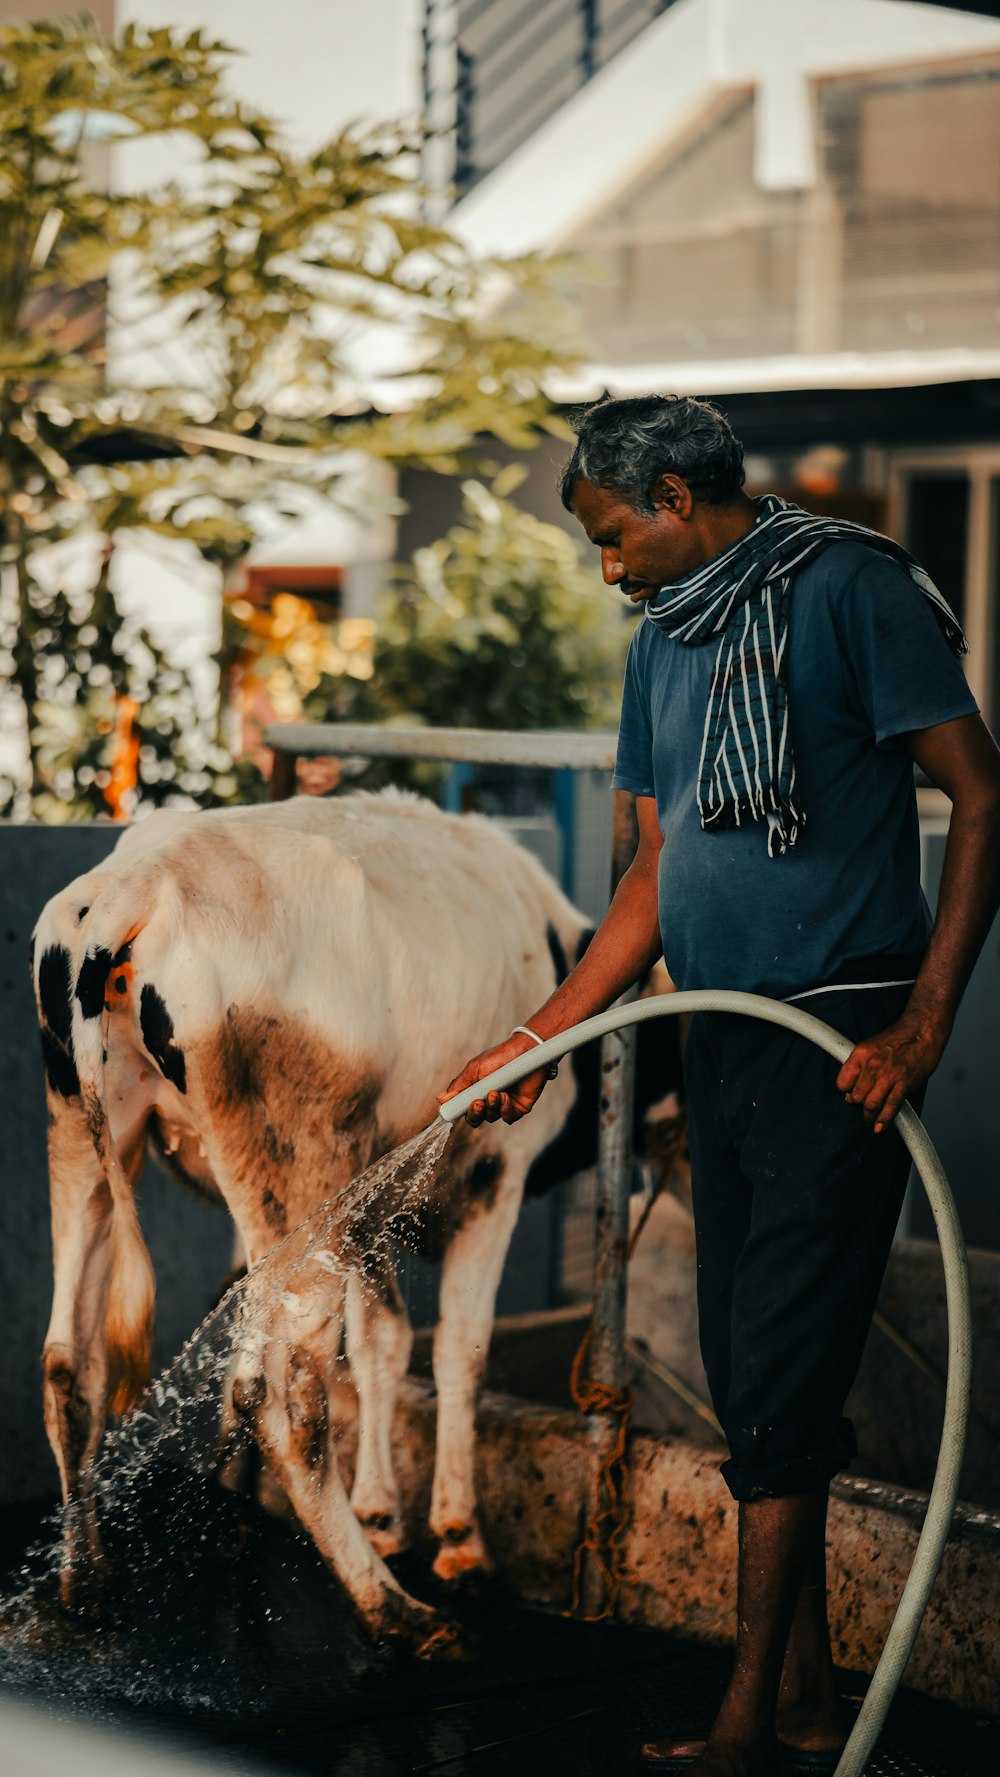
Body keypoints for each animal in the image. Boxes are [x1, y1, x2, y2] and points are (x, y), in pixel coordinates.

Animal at [35, 785, 685, 1656]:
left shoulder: (374, 1207)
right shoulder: (496, 1176)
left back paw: (89, 1578)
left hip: (89, 1139)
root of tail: (132, 887)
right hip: (302, 1166)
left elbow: (383, 1344)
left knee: (72, 1362)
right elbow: (457, 1349)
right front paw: (457, 1539)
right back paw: (394, 1610)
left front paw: (380, 1512)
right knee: (284, 1392)